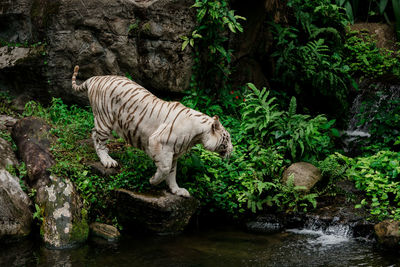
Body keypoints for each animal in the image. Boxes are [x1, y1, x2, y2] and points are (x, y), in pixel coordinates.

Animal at [70, 66, 233, 198]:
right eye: (227, 139)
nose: (232, 150)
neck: (198, 136)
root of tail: (95, 78)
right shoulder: (158, 142)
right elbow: (165, 169)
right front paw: (153, 181)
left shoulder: (174, 153)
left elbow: (172, 173)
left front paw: (177, 190)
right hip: (105, 120)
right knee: (99, 140)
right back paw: (108, 161)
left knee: (93, 132)